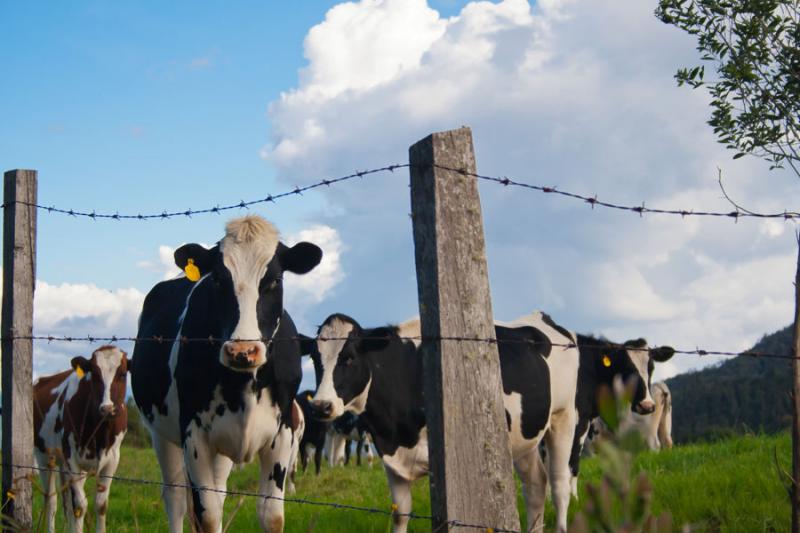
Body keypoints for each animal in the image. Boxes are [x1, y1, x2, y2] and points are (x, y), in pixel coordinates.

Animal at [34, 344, 130, 532]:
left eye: (122, 374)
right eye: (94, 374)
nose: (107, 409)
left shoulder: (112, 459)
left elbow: (100, 505)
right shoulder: (71, 458)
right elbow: (79, 506)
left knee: (67, 504)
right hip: (44, 457)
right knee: (51, 501)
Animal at [130, 214, 320, 528]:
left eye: (275, 280)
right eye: (218, 279)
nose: (243, 351)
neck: (244, 383)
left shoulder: (283, 434)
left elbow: (271, 515)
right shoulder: (193, 435)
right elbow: (207, 515)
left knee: (217, 491)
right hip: (161, 433)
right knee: (175, 497)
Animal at [310, 312, 580, 532]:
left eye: (350, 358)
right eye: (314, 359)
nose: (322, 406)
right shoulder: (391, 457)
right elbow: (400, 514)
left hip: (563, 417)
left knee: (559, 485)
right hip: (524, 436)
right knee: (535, 485)